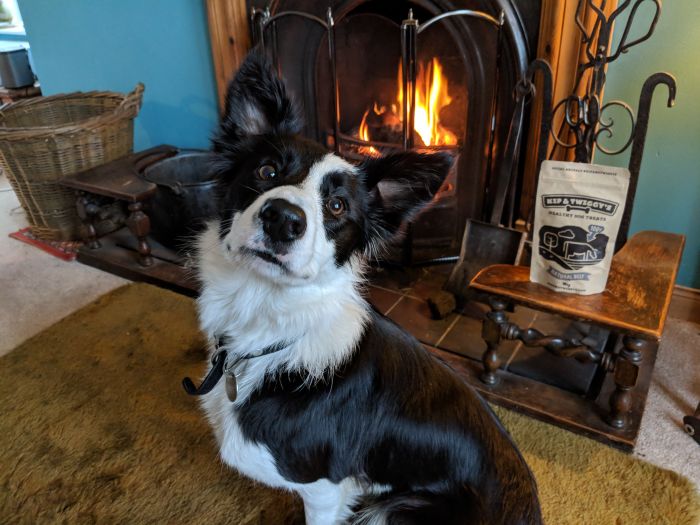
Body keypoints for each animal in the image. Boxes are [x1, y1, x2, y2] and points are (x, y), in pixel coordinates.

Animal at [194, 53, 544, 524]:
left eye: (337, 205)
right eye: (267, 170)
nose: (283, 219)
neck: (270, 329)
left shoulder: (324, 489)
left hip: (396, 507)